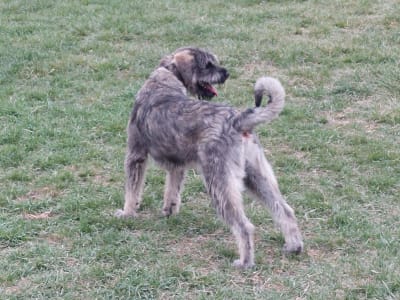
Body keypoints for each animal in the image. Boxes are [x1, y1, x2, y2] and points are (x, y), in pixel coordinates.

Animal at [115, 47, 304, 270]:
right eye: (207, 64)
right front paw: (169, 212)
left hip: (219, 183)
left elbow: (132, 190)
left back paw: (244, 262)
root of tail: (237, 120)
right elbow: (172, 191)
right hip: (256, 177)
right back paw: (293, 247)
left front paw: (126, 214)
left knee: (244, 226)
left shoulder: (136, 155)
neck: (165, 78)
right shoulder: (177, 166)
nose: (226, 73)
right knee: (284, 210)